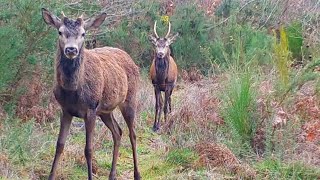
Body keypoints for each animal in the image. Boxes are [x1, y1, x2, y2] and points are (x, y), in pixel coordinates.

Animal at [40, 7, 140, 179]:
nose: (71, 49)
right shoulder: (65, 110)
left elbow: (88, 149)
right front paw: (51, 176)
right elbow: (59, 145)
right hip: (105, 111)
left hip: (129, 100)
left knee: (132, 134)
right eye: (60, 32)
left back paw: (137, 174)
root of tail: (128, 56)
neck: (73, 90)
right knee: (118, 132)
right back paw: (112, 175)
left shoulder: (91, 109)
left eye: (83, 33)